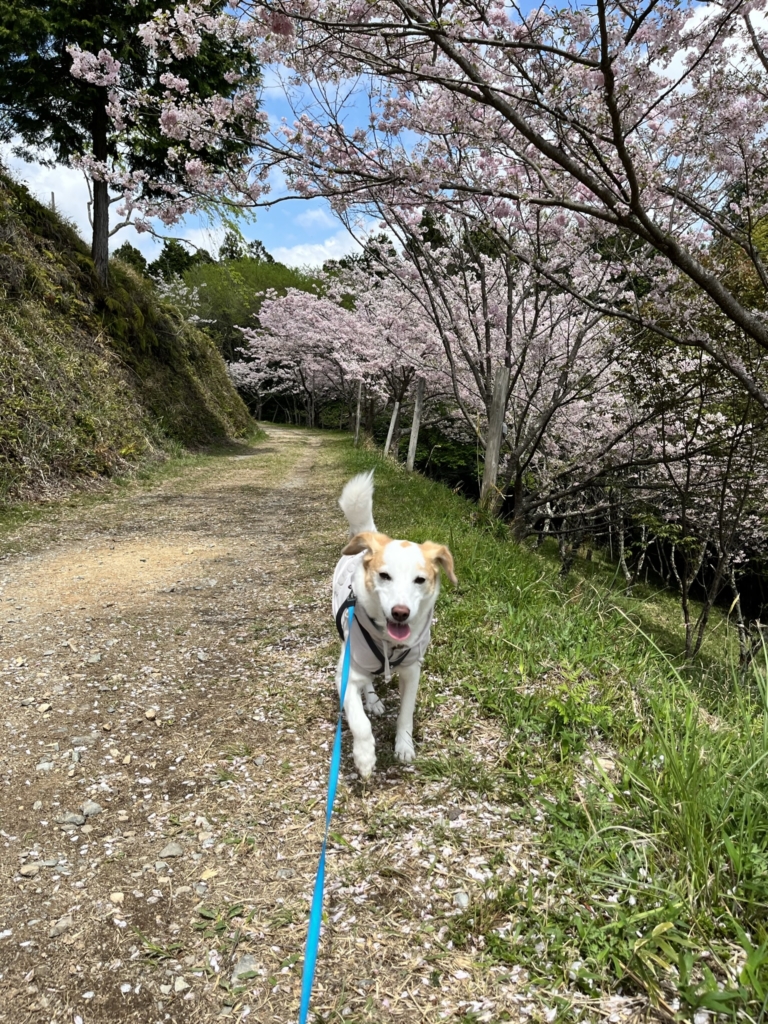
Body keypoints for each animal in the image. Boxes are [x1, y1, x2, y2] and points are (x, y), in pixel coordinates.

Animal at [331, 468, 456, 774]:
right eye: (384, 576)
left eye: (420, 580)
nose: (401, 612)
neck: (388, 643)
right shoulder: (345, 675)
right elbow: (359, 721)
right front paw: (364, 756)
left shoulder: (412, 671)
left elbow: (406, 715)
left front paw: (404, 746)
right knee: (366, 683)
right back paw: (373, 700)